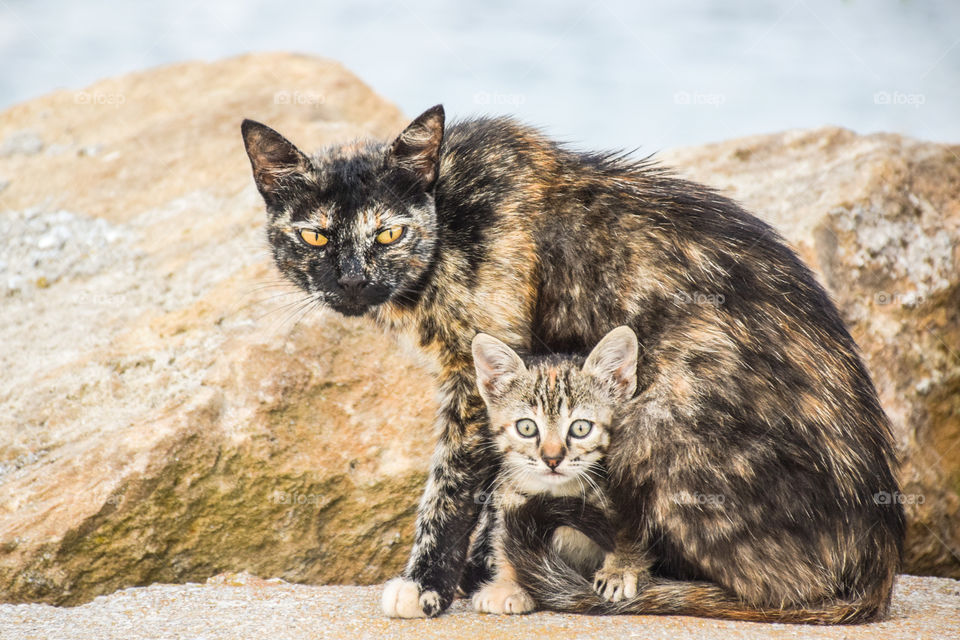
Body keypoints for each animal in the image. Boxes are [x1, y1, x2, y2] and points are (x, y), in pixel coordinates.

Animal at [468, 328, 640, 612]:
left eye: (580, 428)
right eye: (526, 427)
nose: (551, 459)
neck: (559, 494)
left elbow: (629, 533)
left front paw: (620, 570)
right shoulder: (510, 504)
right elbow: (508, 546)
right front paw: (509, 584)